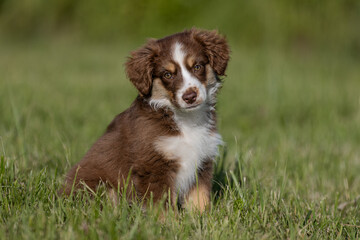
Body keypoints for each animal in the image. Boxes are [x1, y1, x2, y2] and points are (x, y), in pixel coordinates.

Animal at [60, 28, 229, 212]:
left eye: (197, 66)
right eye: (167, 74)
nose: (190, 96)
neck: (185, 119)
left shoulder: (202, 161)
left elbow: (200, 199)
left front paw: (200, 217)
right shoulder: (153, 166)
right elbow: (163, 207)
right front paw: (170, 220)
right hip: (101, 188)